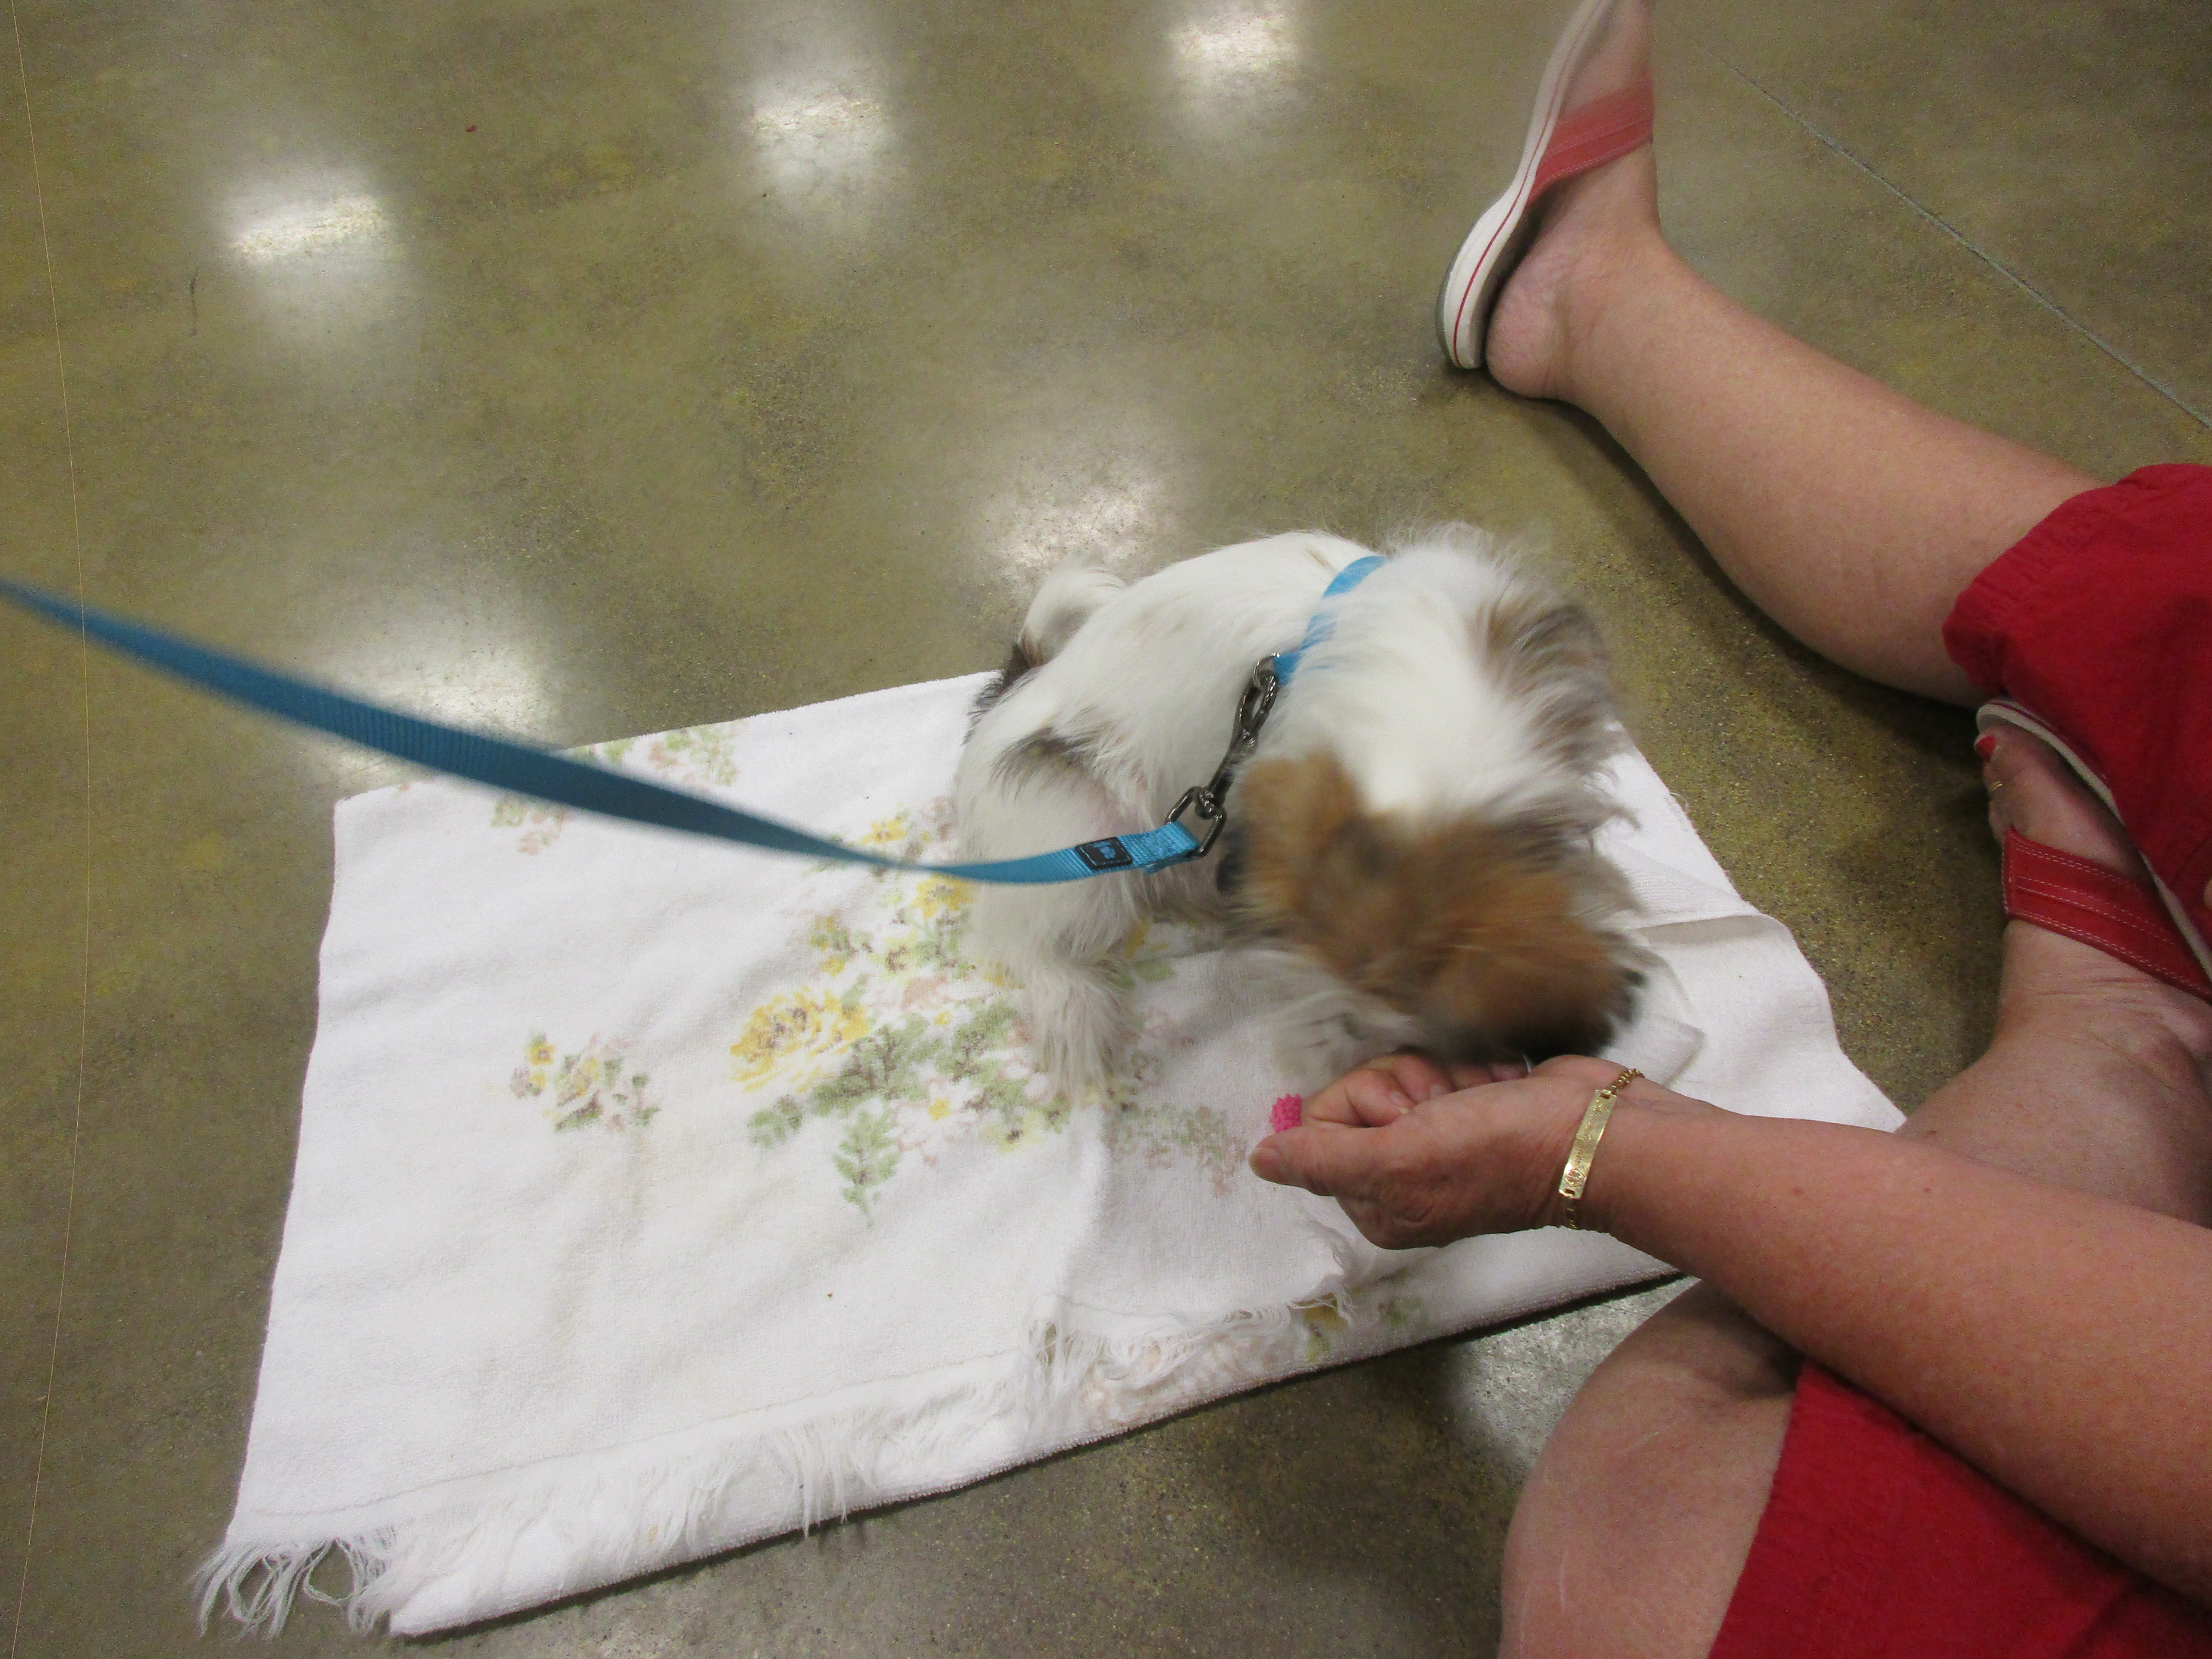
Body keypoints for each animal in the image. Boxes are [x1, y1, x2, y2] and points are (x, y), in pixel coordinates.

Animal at [953, 525, 1643, 1090]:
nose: (1333, 1065)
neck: (1447, 724)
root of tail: (1022, 685)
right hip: (1085, 825)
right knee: (1027, 936)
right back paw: (1075, 1014)